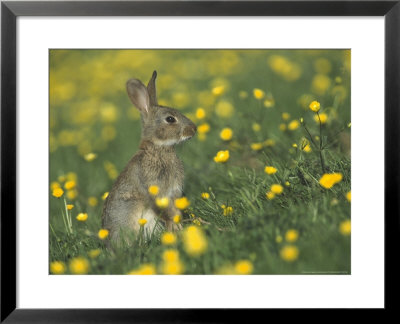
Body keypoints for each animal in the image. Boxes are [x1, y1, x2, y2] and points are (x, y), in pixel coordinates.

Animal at [101, 70, 196, 243]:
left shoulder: (173, 192)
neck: (157, 149)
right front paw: (176, 229)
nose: (194, 129)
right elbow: (165, 212)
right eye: (170, 119)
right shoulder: (154, 190)